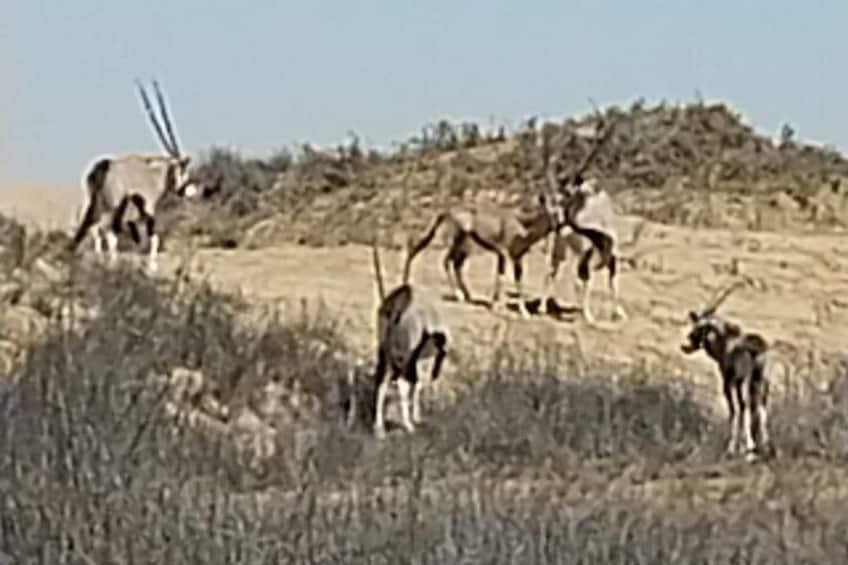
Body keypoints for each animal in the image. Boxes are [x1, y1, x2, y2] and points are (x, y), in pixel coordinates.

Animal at [68, 80, 201, 274]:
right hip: (113, 207)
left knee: (94, 228)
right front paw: (151, 267)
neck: (153, 175)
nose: (191, 191)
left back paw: (101, 261)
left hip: (99, 204)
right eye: (183, 170)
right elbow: (153, 237)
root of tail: (104, 166)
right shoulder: (148, 211)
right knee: (106, 231)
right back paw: (111, 263)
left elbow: (139, 239)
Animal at [372, 236, 450, 438]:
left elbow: (418, 382)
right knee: (402, 382)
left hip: (386, 354)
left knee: (382, 382)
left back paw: (380, 430)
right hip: (408, 356)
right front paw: (422, 414)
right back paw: (408, 426)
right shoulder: (436, 353)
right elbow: (427, 380)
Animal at [680, 280, 772, 460]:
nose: (686, 344)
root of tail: (756, 348)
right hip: (761, 381)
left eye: (699, 327)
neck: (726, 343)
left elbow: (734, 410)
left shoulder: (728, 383)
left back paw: (750, 447)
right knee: (761, 405)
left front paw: (733, 448)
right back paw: (765, 447)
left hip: (744, 381)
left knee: (746, 405)